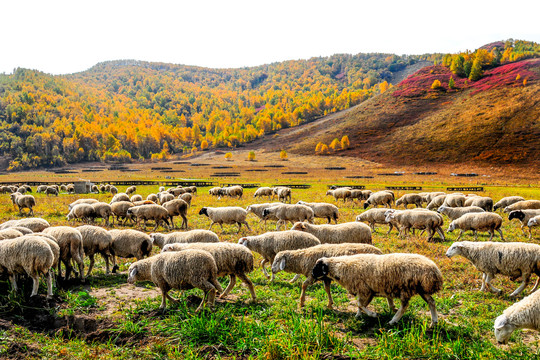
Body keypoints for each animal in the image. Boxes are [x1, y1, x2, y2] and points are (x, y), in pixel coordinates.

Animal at [312, 253, 442, 326]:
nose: (312, 274)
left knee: (404, 306)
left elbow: (360, 304)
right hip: (421, 289)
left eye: (317, 267)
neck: (341, 267)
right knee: (431, 302)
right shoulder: (368, 291)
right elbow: (360, 305)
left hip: (406, 288)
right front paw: (358, 316)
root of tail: (434, 272)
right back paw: (434, 322)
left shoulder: (364, 289)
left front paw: (373, 315)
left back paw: (393, 321)